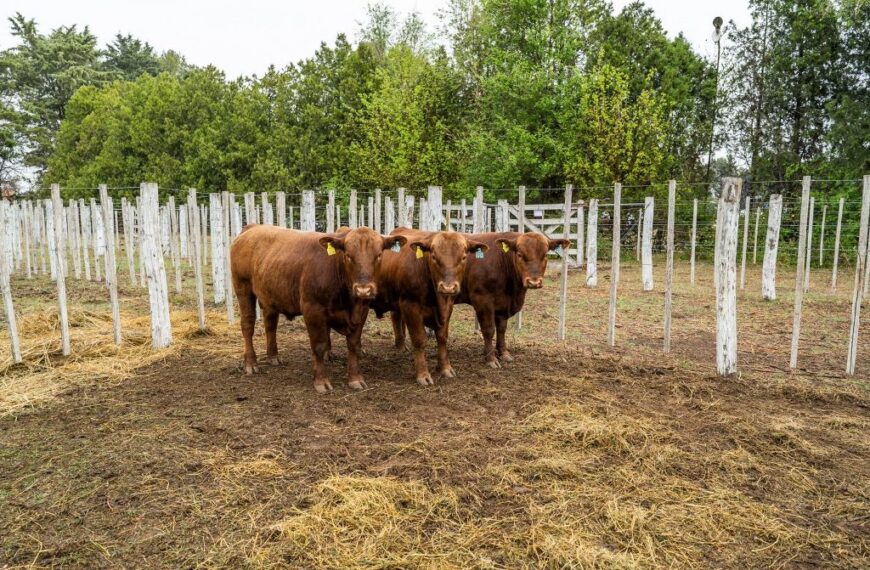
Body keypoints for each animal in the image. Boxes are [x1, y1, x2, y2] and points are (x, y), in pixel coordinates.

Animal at [232, 224, 408, 392]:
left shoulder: (361, 311)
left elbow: (353, 344)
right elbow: (319, 346)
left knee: (270, 325)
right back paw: (250, 363)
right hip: (243, 288)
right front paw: (321, 381)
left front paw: (355, 379)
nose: (363, 290)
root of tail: (253, 227)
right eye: (348, 255)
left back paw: (273, 357)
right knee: (248, 325)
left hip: (270, 296)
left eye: (378, 255)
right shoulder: (313, 310)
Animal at [372, 229, 488, 384]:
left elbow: (442, 337)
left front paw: (445, 368)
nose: (448, 287)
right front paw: (423, 375)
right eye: (433, 256)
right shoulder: (411, 306)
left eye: (463, 257)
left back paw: (400, 346)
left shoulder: (448, 307)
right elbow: (419, 340)